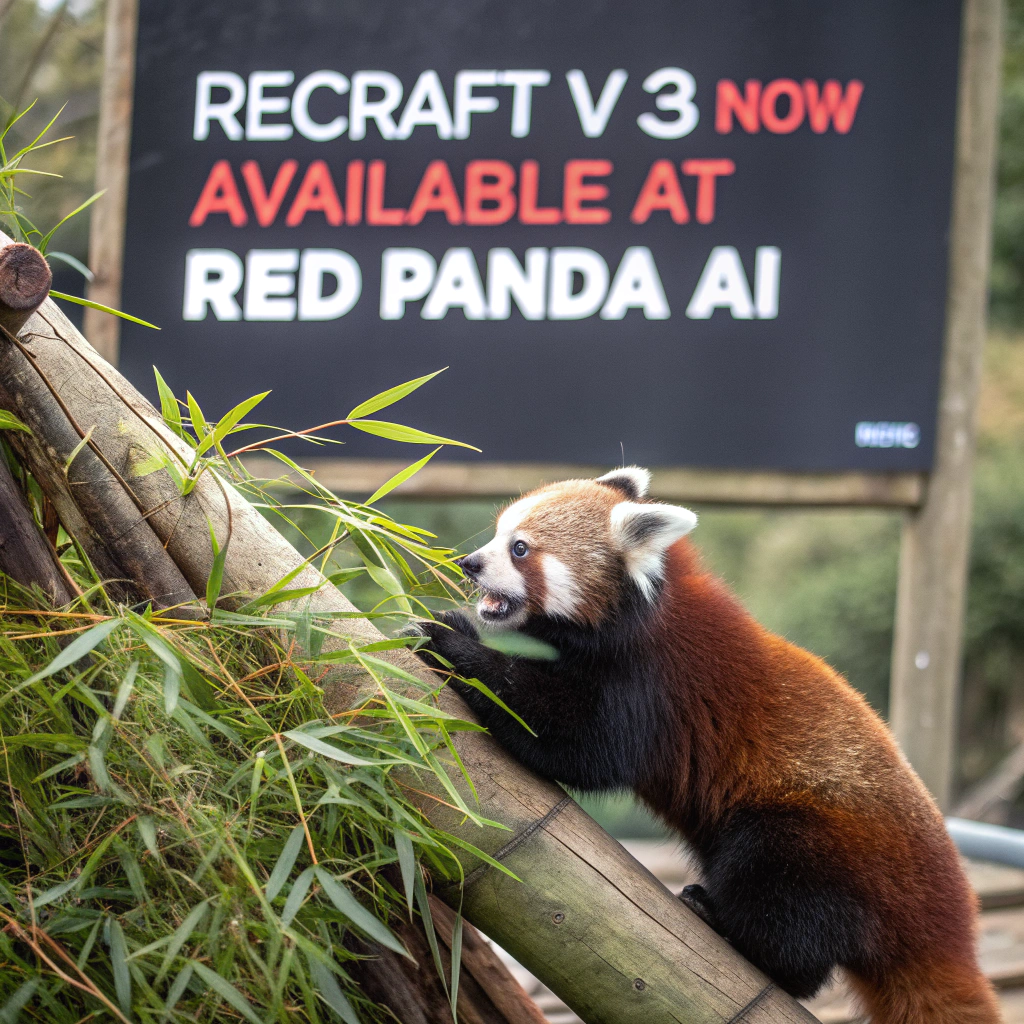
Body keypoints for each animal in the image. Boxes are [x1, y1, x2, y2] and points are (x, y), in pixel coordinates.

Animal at [410, 467, 1001, 1024]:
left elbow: (577, 744)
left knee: (782, 897)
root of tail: (945, 923)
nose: (469, 564)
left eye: (520, 549)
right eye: (497, 533)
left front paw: (452, 640)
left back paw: (731, 928)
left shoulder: (654, 682)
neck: (638, 611)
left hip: (824, 848)